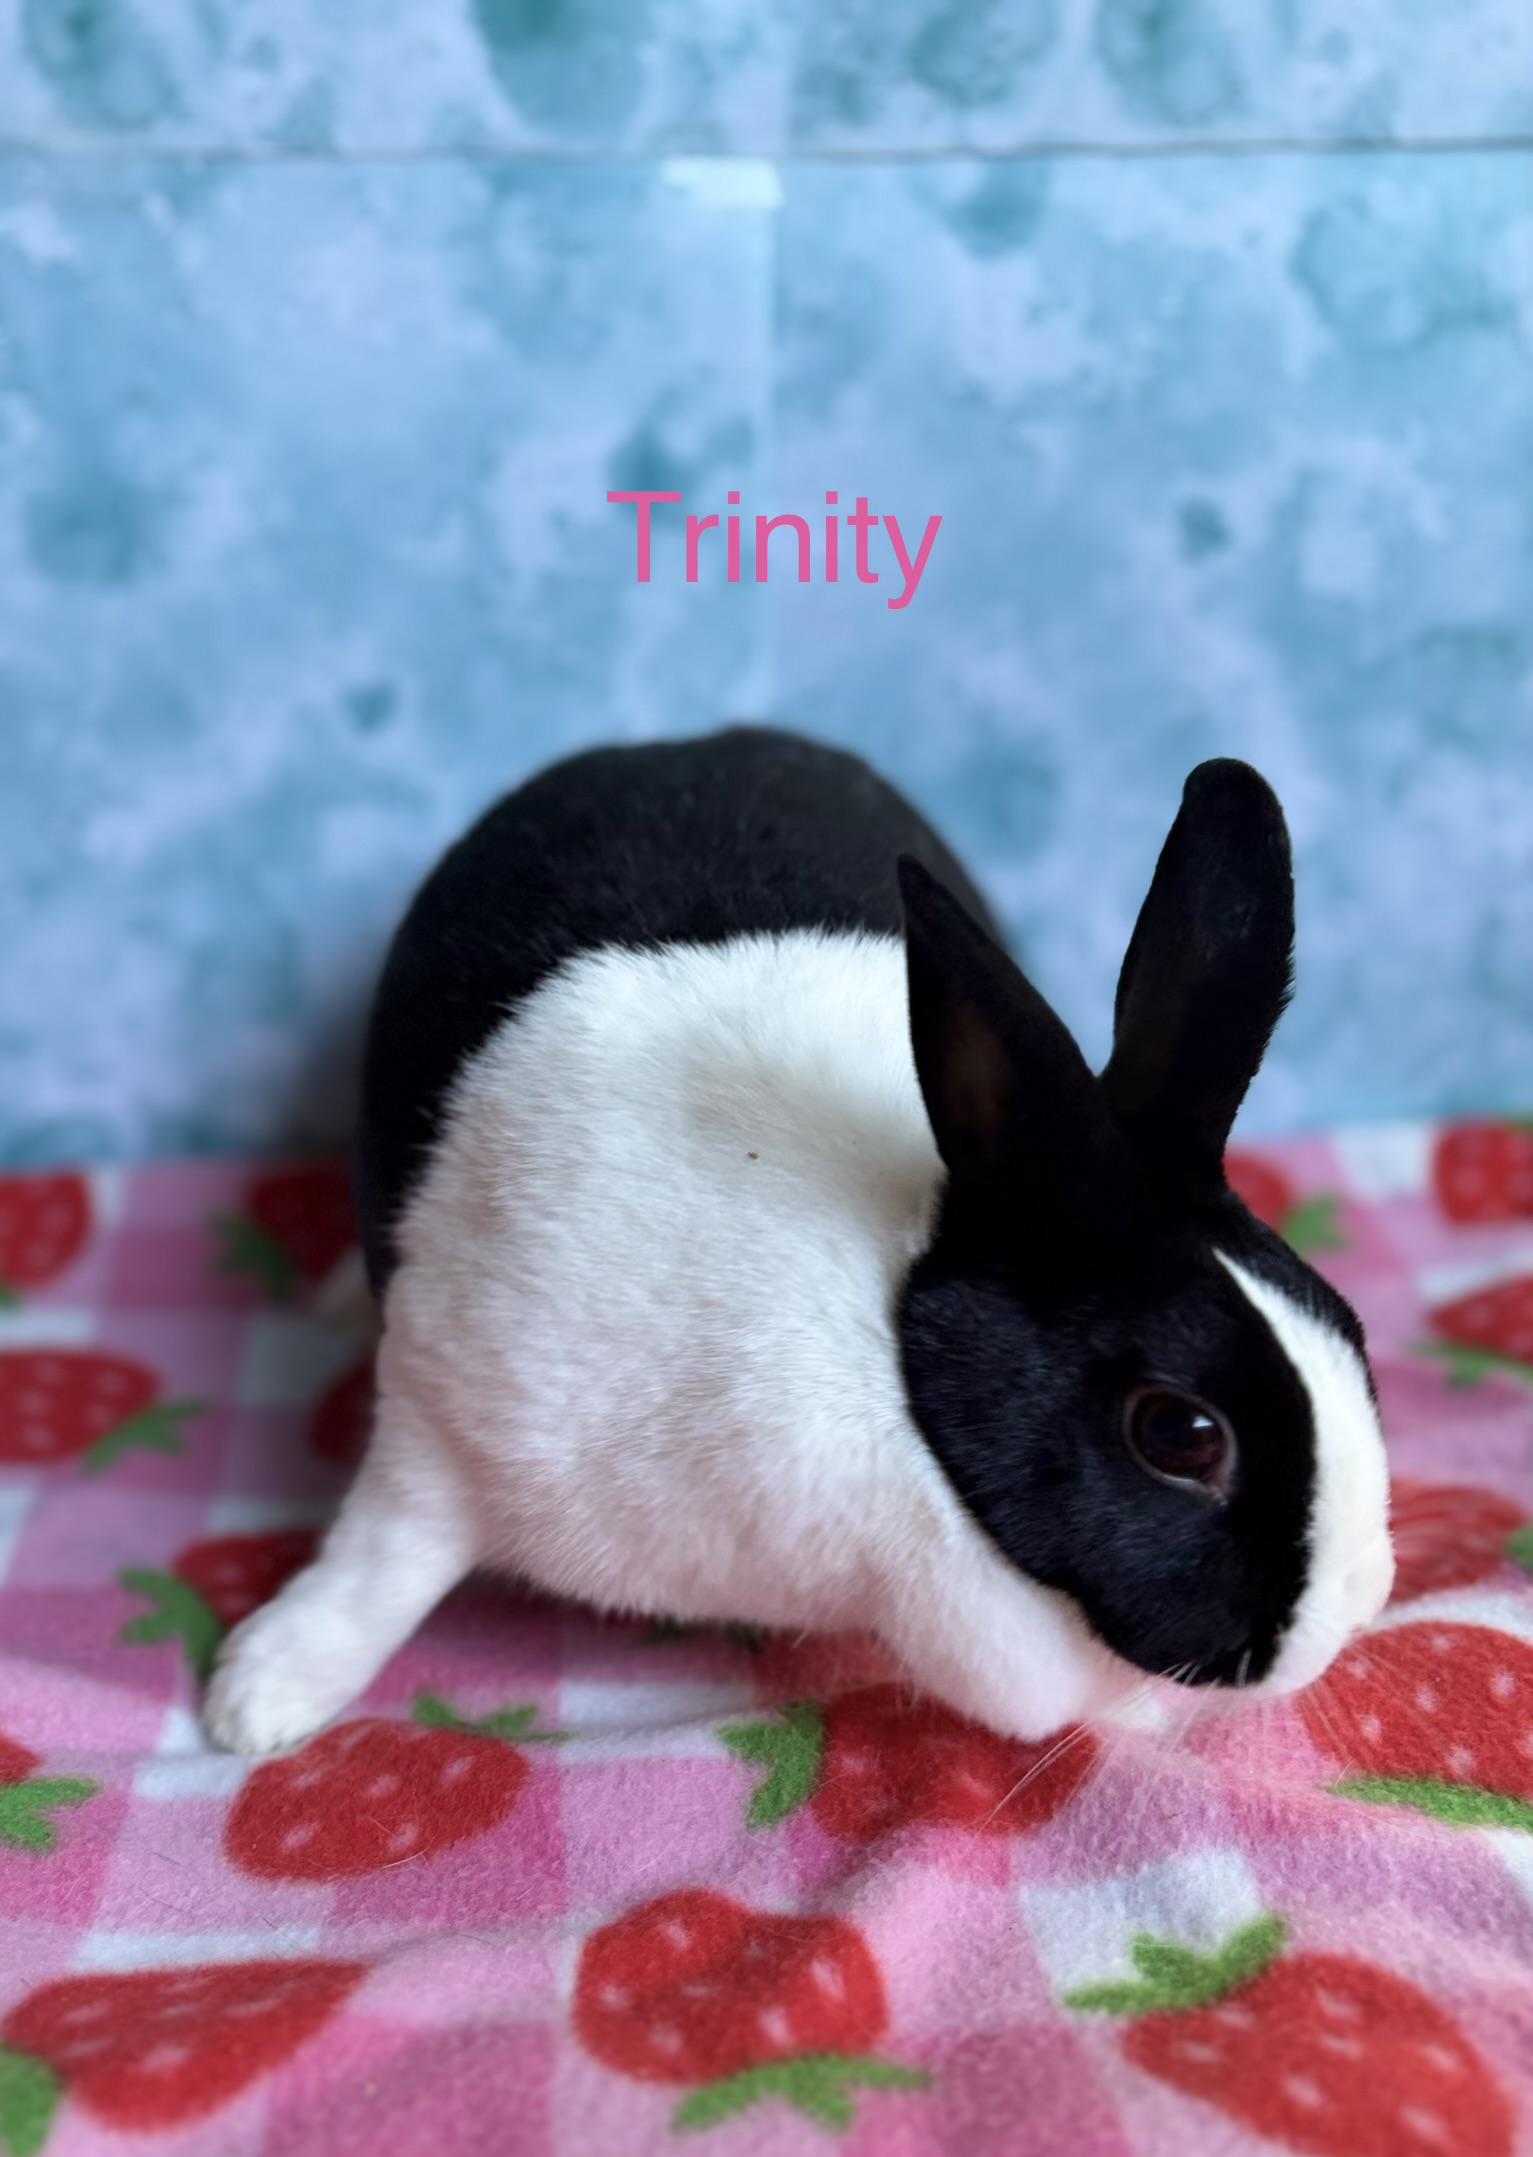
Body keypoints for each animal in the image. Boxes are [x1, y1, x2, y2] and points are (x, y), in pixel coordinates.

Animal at [205, 726, 1393, 1755]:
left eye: (1349, 1324)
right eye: (1179, 1434)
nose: (1356, 1608)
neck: (885, 1341)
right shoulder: (438, 1417)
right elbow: (379, 1562)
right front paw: (255, 1701)